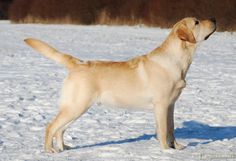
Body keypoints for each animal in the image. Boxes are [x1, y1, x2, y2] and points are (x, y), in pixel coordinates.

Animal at [24, 17, 216, 153]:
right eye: (196, 22)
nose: (214, 18)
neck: (178, 59)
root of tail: (77, 63)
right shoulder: (161, 105)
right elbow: (163, 130)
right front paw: (165, 151)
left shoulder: (171, 105)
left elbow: (171, 128)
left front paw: (177, 148)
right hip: (76, 106)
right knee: (51, 126)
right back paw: (49, 150)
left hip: (76, 108)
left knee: (60, 129)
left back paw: (64, 148)